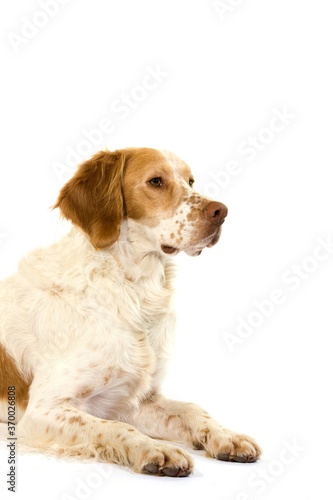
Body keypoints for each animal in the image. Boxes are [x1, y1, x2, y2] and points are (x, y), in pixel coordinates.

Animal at [0, 147, 260, 476]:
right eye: (156, 181)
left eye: (190, 181)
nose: (221, 211)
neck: (133, 292)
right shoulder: (42, 410)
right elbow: (113, 428)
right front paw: (155, 449)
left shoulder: (132, 400)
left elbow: (191, 408)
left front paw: (226, 436)